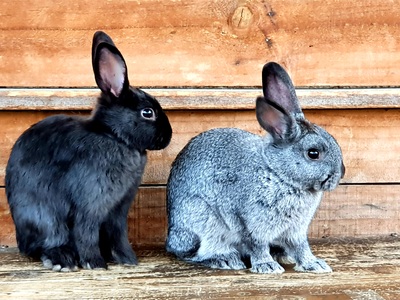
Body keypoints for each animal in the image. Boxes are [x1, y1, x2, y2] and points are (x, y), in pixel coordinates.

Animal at [5, 32, 172, 272]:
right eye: (147, 113)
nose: (168, 135)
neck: (113, 136)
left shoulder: (119, 209)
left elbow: (118, 235)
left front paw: (128, 260)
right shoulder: (91, 202)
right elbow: (86, 232)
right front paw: (95, 264)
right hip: (46, 218)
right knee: (48, 242)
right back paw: (62, 260)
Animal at [166, 62, 344, 274]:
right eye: (313, 153)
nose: (341, 173)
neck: (278, 173)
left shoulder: (295, 231)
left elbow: (301, 247)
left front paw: (314, 264)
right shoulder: (250, 224)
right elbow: (257, 246)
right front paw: (267, 266)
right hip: (201, 220)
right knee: (195, 254)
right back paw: (226, 260)